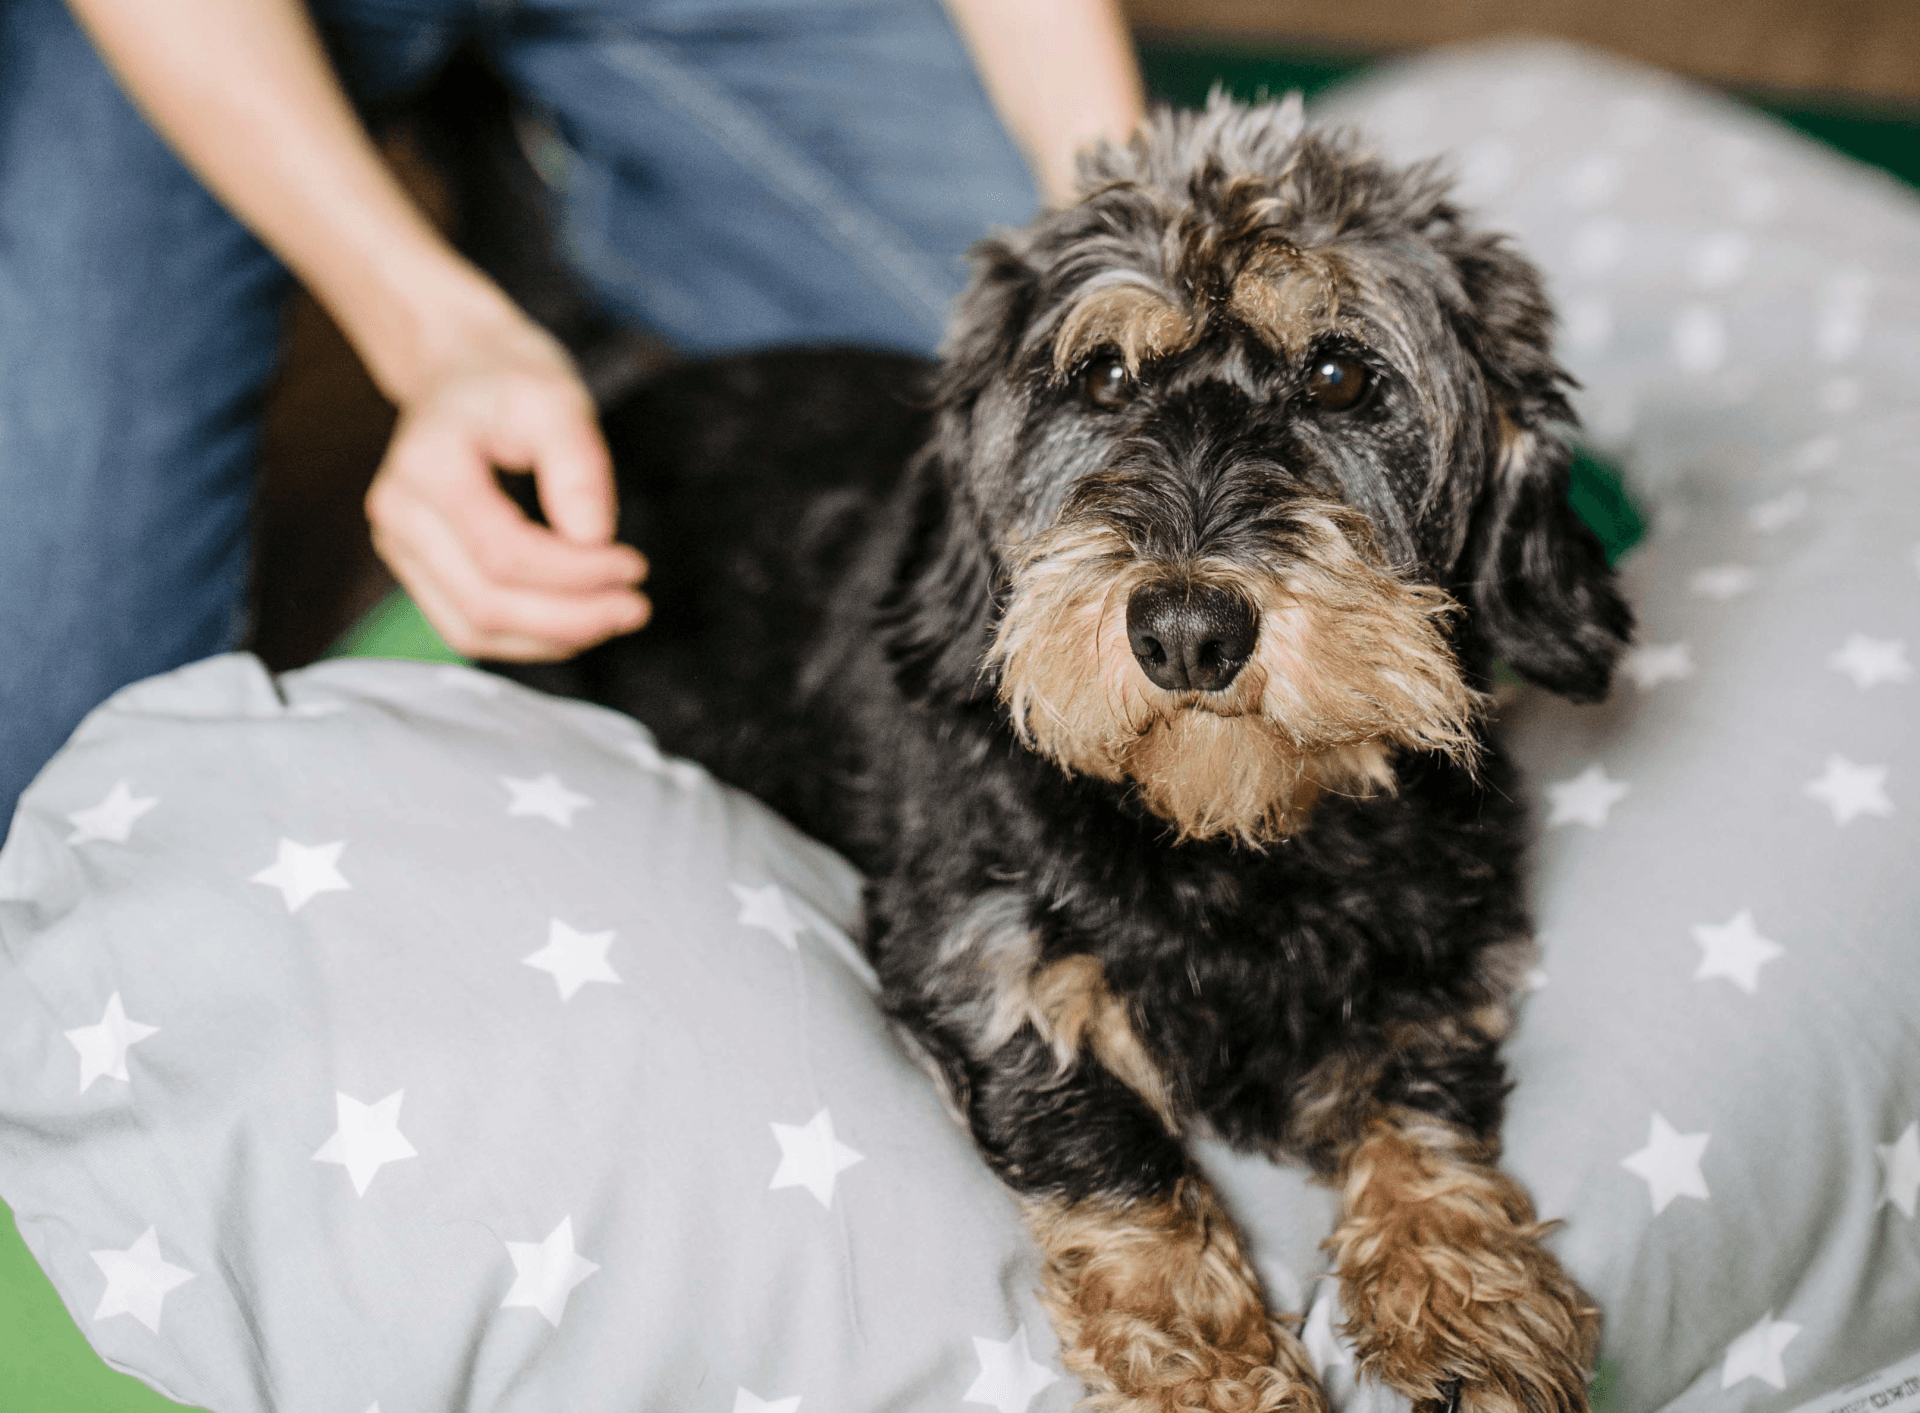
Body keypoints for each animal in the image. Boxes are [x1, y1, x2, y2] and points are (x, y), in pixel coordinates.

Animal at [503, 92, 1632, 1413]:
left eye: (1342, 374)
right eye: (1102, 374)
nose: (1187, 628)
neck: (1228, 840)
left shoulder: (1449, 959)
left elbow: (1425, 1109)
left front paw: (1467, 1296)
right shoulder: (976, 953)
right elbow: (1111, 1145)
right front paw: (1212, 1369)